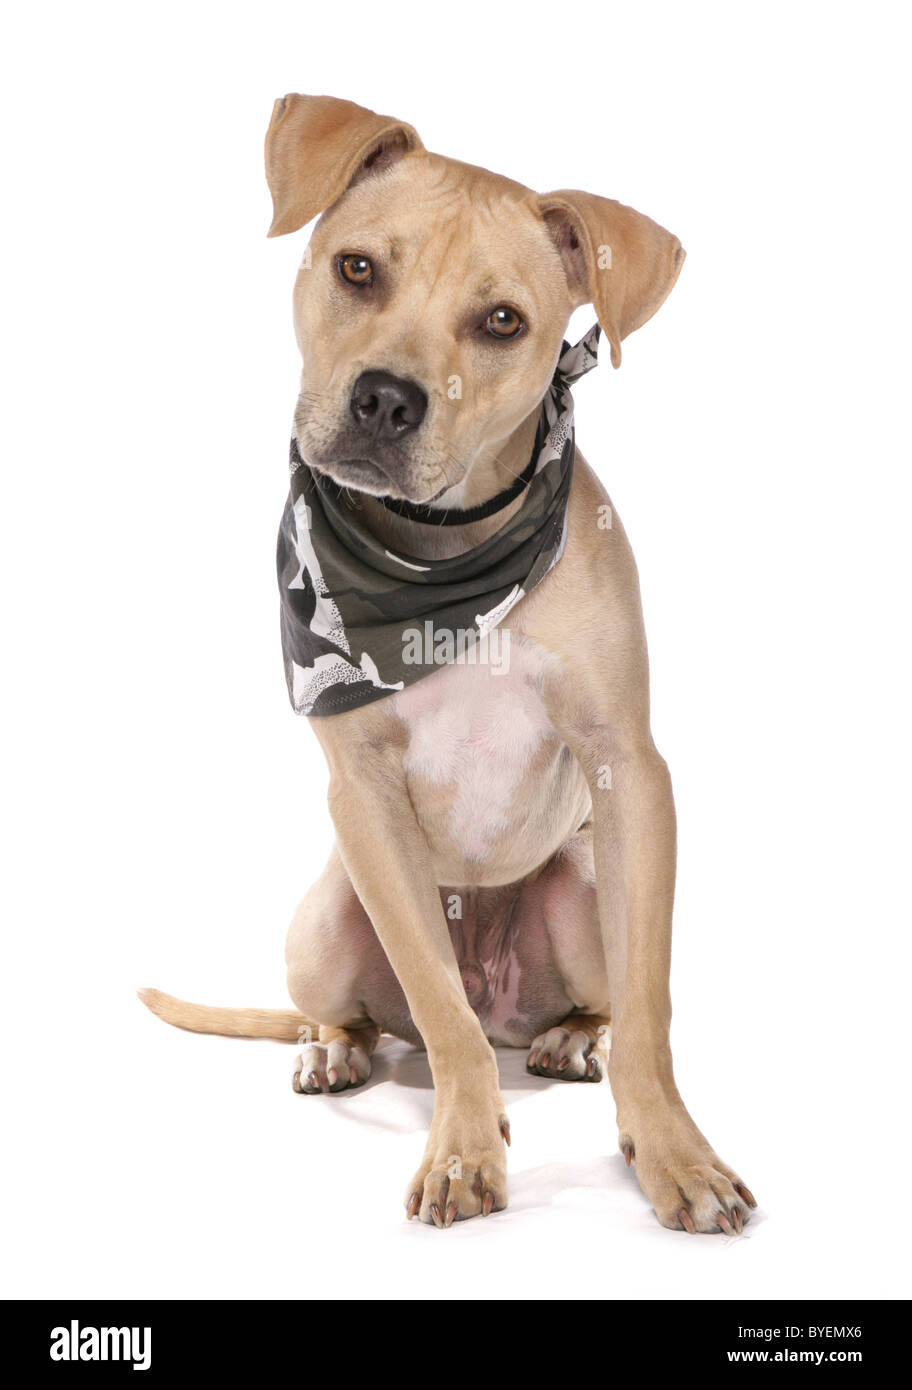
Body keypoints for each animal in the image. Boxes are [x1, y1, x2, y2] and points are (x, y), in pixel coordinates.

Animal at [140, 92, 756, 1234]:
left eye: (504, 321)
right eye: (356, 269)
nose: (386, 399)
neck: (444, 563)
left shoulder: (629, 768)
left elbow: (652, 1006)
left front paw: (674, 1153)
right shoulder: (364, 795)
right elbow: (434, 1003)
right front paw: (465, 1149)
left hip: (580, 883)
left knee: (591, 1001)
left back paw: (570, 1038)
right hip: (329, 915)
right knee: (382, 1016)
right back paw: (333, 1051)